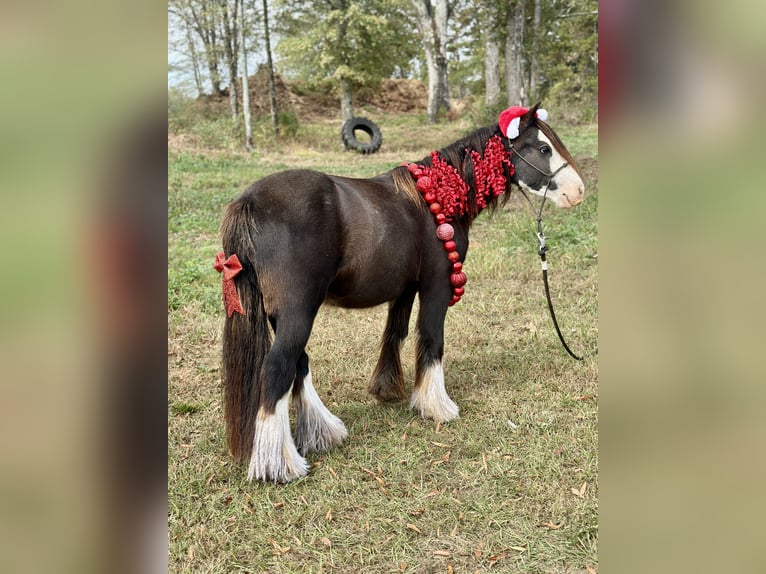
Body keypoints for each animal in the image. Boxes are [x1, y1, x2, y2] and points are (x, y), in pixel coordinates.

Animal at [213, 104, 584, 486]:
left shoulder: (404, 289)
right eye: (544, 148)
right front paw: (436, 406)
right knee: (279, 368)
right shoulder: (437, 285)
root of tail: (248, 202)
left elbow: (396, 334)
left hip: (282, 315)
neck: (437, 195)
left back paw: (322, 432)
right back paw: (280, 465)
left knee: (298, 364)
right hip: (298, 311)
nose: (578, 191)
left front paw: (388, 389)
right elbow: (431, 339)